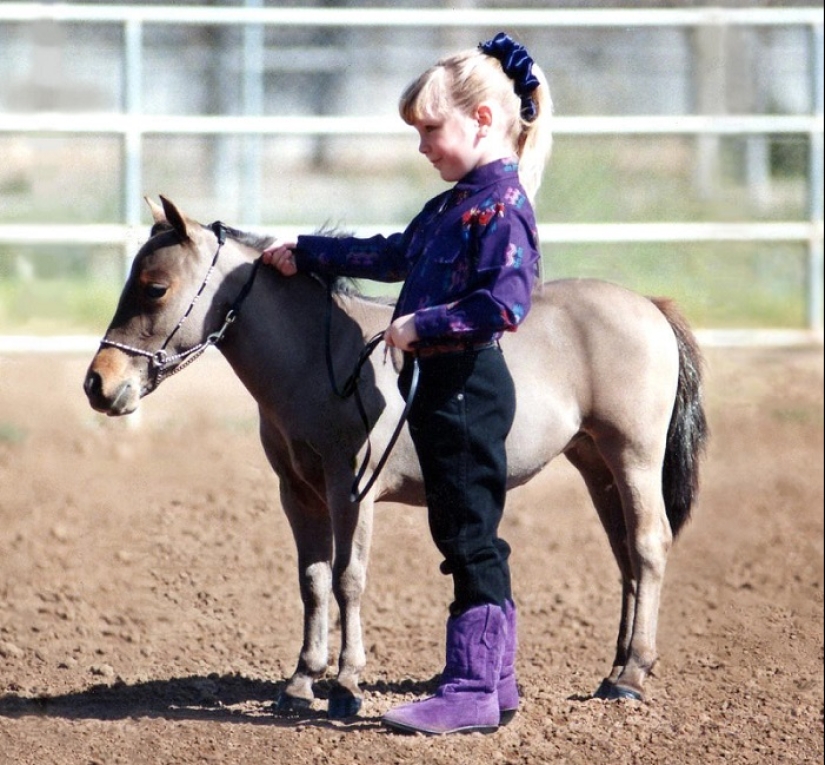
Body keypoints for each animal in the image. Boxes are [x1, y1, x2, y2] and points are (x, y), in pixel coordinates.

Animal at [83, 196, 707, 719]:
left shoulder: (351, 491)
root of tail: (649, 307)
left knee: (648, 546)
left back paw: (630, 676)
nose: (98, 384)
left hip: (633, 458)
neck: (324, 359)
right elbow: (312, 581)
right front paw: (301, 682)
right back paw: (617, 669)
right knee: (625, 557)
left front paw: (346, 685)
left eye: (155, 288)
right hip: (595, 464)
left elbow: (347, 579)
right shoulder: (298, 494)